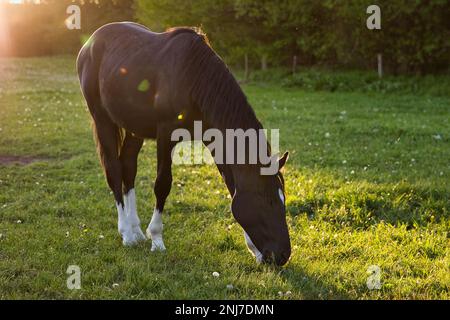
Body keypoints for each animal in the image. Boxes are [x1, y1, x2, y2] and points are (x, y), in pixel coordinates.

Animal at [75, 22, 290, 266]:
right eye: (269, 201)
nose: (283, 255)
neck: (193, 79)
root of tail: (90, 41)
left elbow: (232, 188)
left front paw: (254, 248)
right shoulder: (166, 135)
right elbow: (162, 184)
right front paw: (156, 238)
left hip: (133, 127)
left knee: (128, 167)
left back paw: (136, 230)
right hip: (102, 119)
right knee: (113, 169)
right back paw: (127, 234)